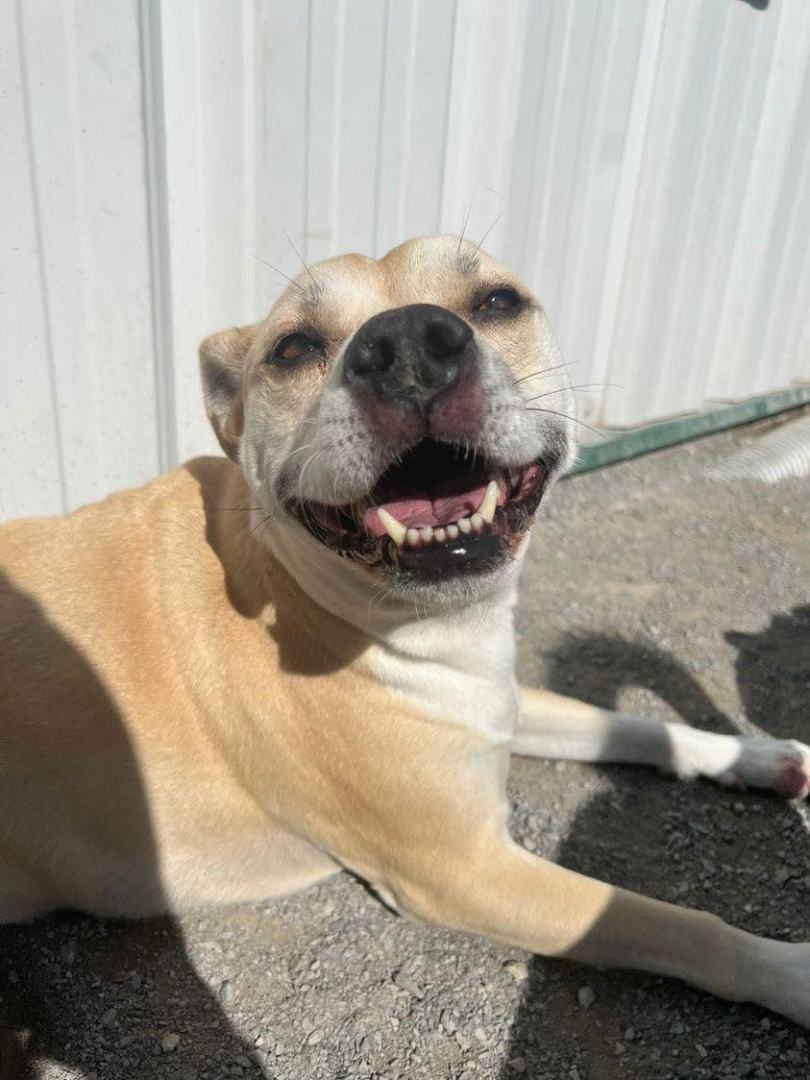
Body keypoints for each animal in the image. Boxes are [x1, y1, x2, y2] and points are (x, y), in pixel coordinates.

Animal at [1, 236, 810, 1028]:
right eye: (293, 348)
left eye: (497, 301)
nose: (408, 344)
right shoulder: (464, 869)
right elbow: (678, 926)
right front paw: (788, 972)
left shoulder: (495, 701)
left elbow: (632, 725)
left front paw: (752, 755)